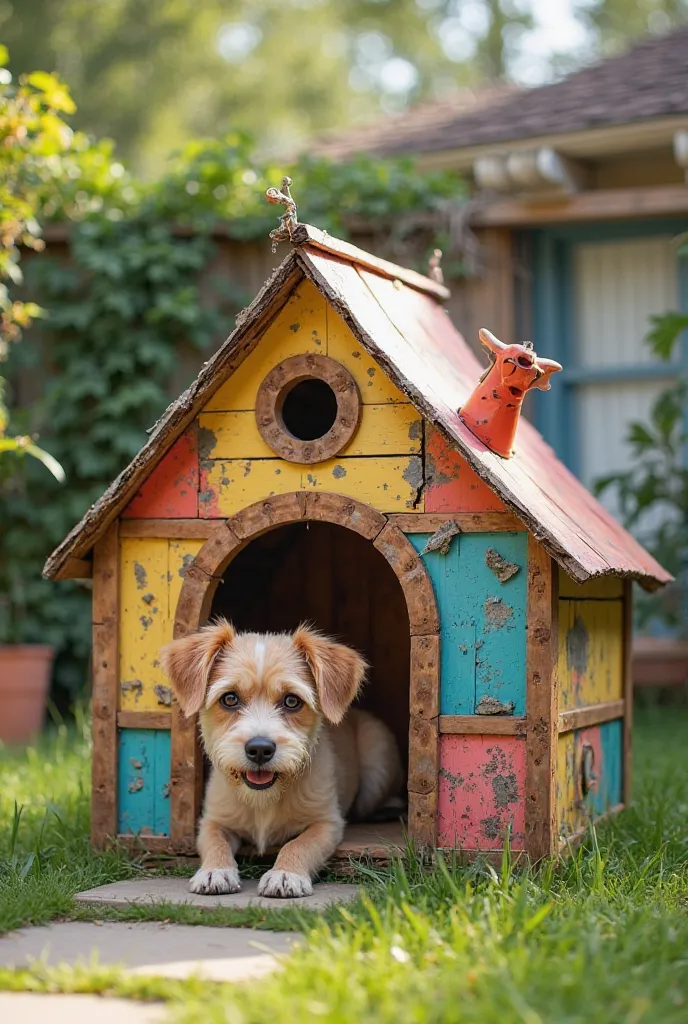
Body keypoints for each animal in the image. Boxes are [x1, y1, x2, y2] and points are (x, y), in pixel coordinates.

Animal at [159, 614, 403, 897]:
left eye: (292, 701)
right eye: (229, 699)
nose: (260, 749)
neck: (264, 798)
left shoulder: (326, 823)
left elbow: (299, 844)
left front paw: (285, 874)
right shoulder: (213, 820)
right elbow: (215, 842)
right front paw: (215, 871)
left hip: (377, 756)